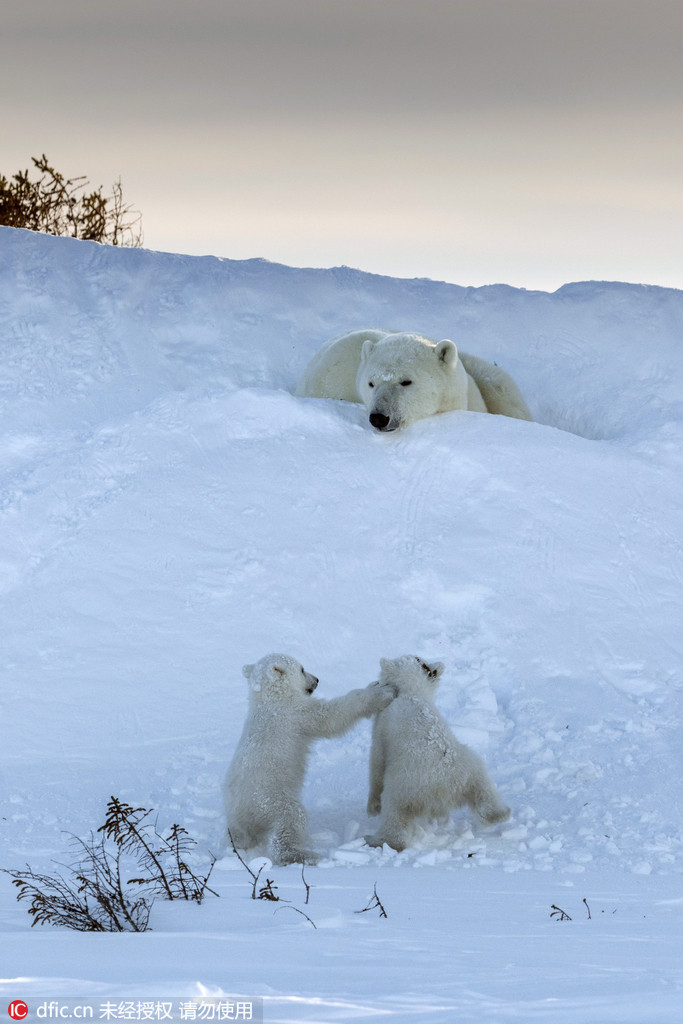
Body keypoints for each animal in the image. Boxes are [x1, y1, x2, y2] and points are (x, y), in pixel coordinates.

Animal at [225, 655, 395, 864]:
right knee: (291, 818)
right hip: (269, 800)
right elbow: (331, 716)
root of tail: (239, 814)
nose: (317, 680)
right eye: (302, 669)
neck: (271, 698)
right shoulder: (296, 713)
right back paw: (303, 854)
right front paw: (382, 692)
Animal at [366, 655, 509, 847]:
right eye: (421, 661)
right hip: (469, 767)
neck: (412, 692)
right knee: (484, 790)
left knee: (394, 812)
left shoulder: (383, 725)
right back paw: (500, 814)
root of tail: (443, 787)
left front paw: (372, 807)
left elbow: (377, 762)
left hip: (404, 784)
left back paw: (380, 840)